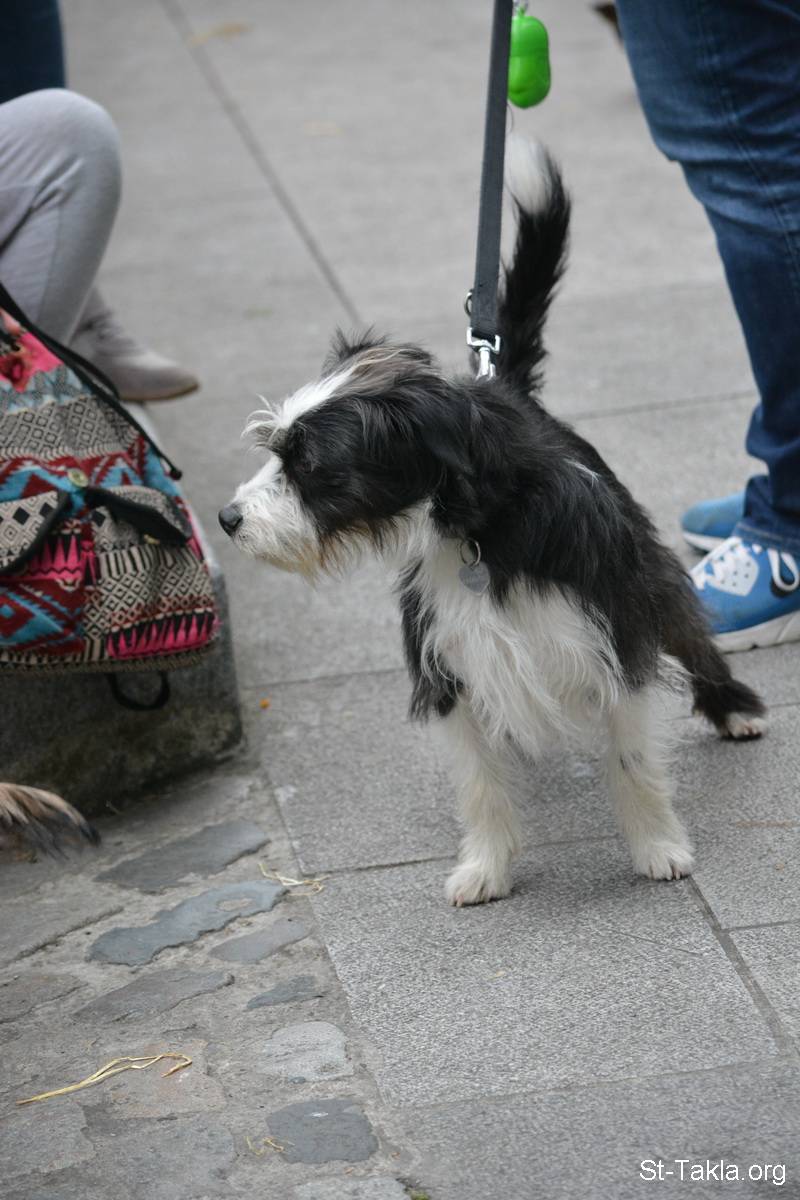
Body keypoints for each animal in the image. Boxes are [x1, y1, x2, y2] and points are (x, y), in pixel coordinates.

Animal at [219, 138, 765, 906]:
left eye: (310, 463)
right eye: (278, 451)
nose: (228, 518)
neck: (476, 532)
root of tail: (504, 383)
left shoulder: (612, 628)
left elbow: (631, 758)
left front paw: (658, 847)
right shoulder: (448, 658)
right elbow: (479, 784)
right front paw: (485, 867)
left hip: (651, 577)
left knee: (690, 633)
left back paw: (734, 706)